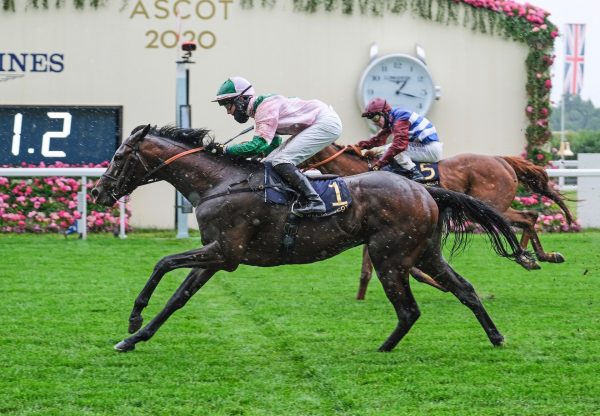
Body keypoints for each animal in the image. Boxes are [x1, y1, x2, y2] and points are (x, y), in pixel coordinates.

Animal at [95, 125, 536, 352]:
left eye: (118, 156)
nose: (99, 192)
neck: (220, 182)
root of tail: (424, 190)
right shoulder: (217, 257)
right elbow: (178, 298)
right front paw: (134, 338)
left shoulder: (223, 251)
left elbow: (163, 263)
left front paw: (134, 317)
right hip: (425, 254)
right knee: (465, 289)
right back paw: (496, 336)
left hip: (389, 257)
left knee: (410, 310)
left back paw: (382, 348)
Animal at [302, 145, 576, 300]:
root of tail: (501, 160)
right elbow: (368, 268)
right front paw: (360, 295)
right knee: (528, 218)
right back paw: (537, 257)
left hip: (491, 205)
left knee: (527, 218)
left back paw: (526, 257)